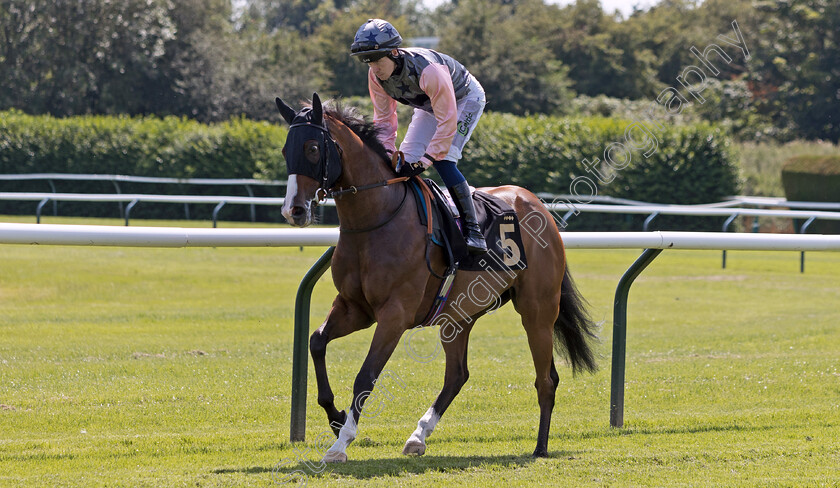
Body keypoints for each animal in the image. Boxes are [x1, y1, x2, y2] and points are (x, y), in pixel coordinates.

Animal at [276, 92, 596, 462]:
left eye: (313, 148)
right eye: (285, 150)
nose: (294, 210)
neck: (376, 219)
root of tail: (540, 207)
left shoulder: (395, 314)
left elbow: (365, 376)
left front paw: (341, 443)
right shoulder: (354, 308)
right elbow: (316, 342)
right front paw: (336, 417)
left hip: (538, 310)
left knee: (546, 379)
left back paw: (540, 447)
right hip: (457, 315)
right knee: (457, 374)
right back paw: (418, 435)